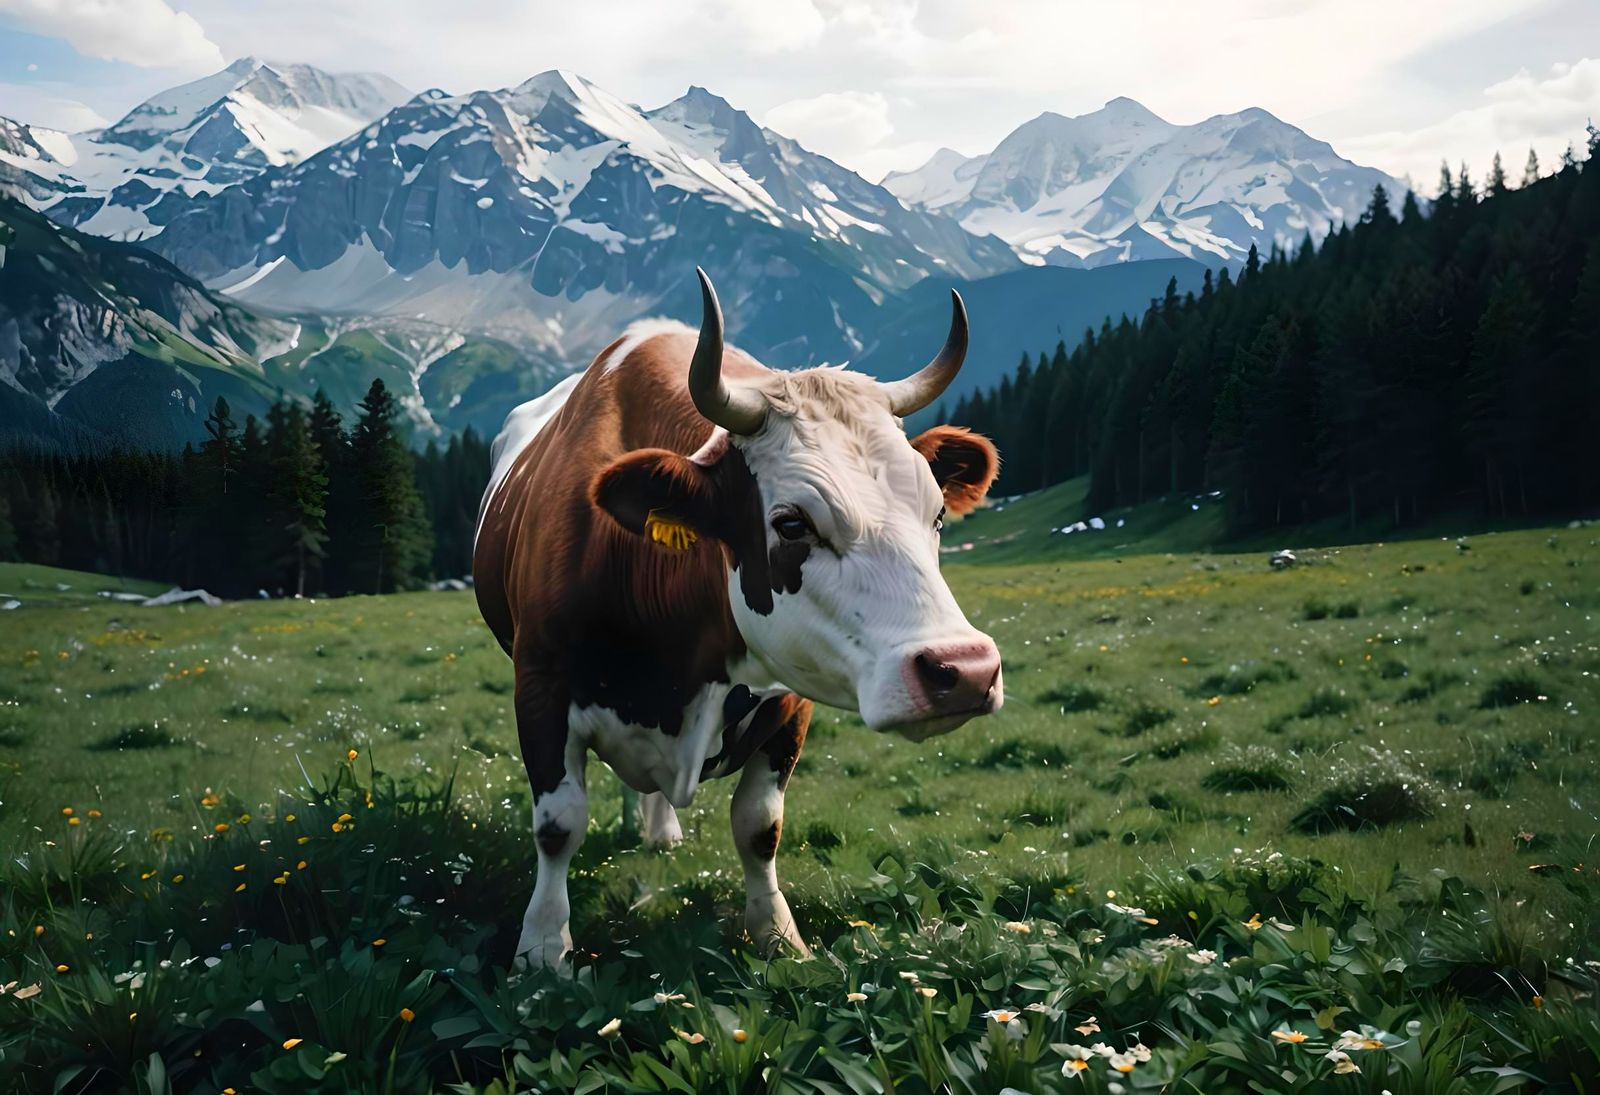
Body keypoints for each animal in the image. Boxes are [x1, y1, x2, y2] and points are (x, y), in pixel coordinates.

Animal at [473, 269, 1003, 967]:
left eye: (937, 513)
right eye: (792, 523)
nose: (965, 670)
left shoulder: (790, 700)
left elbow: (759, 827)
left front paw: (777, 935)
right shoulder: (540, 683)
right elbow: (559, 824)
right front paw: (541, 950)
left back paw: (660, 830)